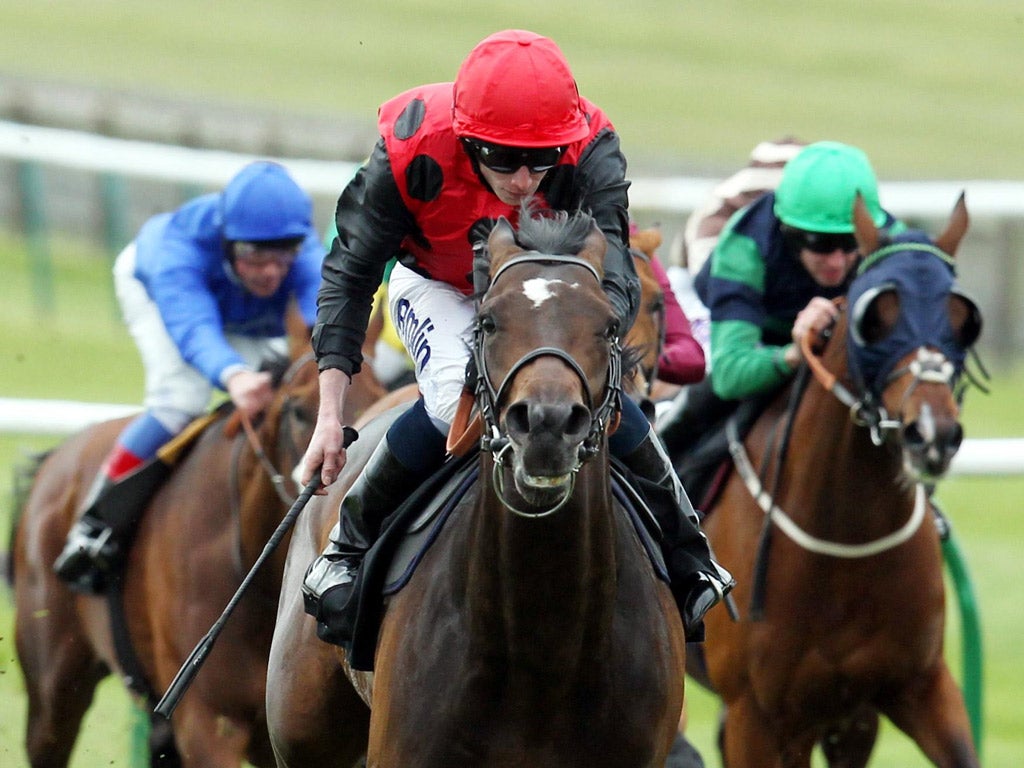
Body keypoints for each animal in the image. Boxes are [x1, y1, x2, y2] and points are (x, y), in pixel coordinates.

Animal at [688, 193, 983, 768]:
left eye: (963, 319)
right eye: (876, 316)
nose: (932, 434)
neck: (847, 541)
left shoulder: (915, 688)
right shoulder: (756, 716)